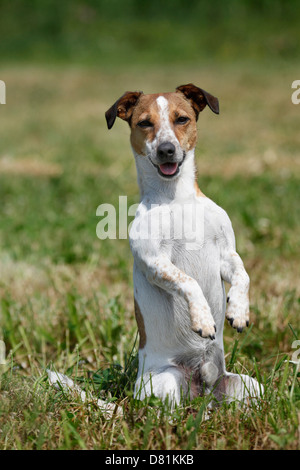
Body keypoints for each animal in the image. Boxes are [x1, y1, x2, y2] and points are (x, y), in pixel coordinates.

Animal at [105, 84, 262, 408]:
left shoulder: (226, 254)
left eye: (182, 119)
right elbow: (189, 281)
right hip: (165, 382)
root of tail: (204, 390)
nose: (166, 149)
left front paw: (239, 310)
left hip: (248, 386)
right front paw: (203, 319)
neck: (176, 199)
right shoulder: (155, 261)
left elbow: (243, 275)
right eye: (145, 123)